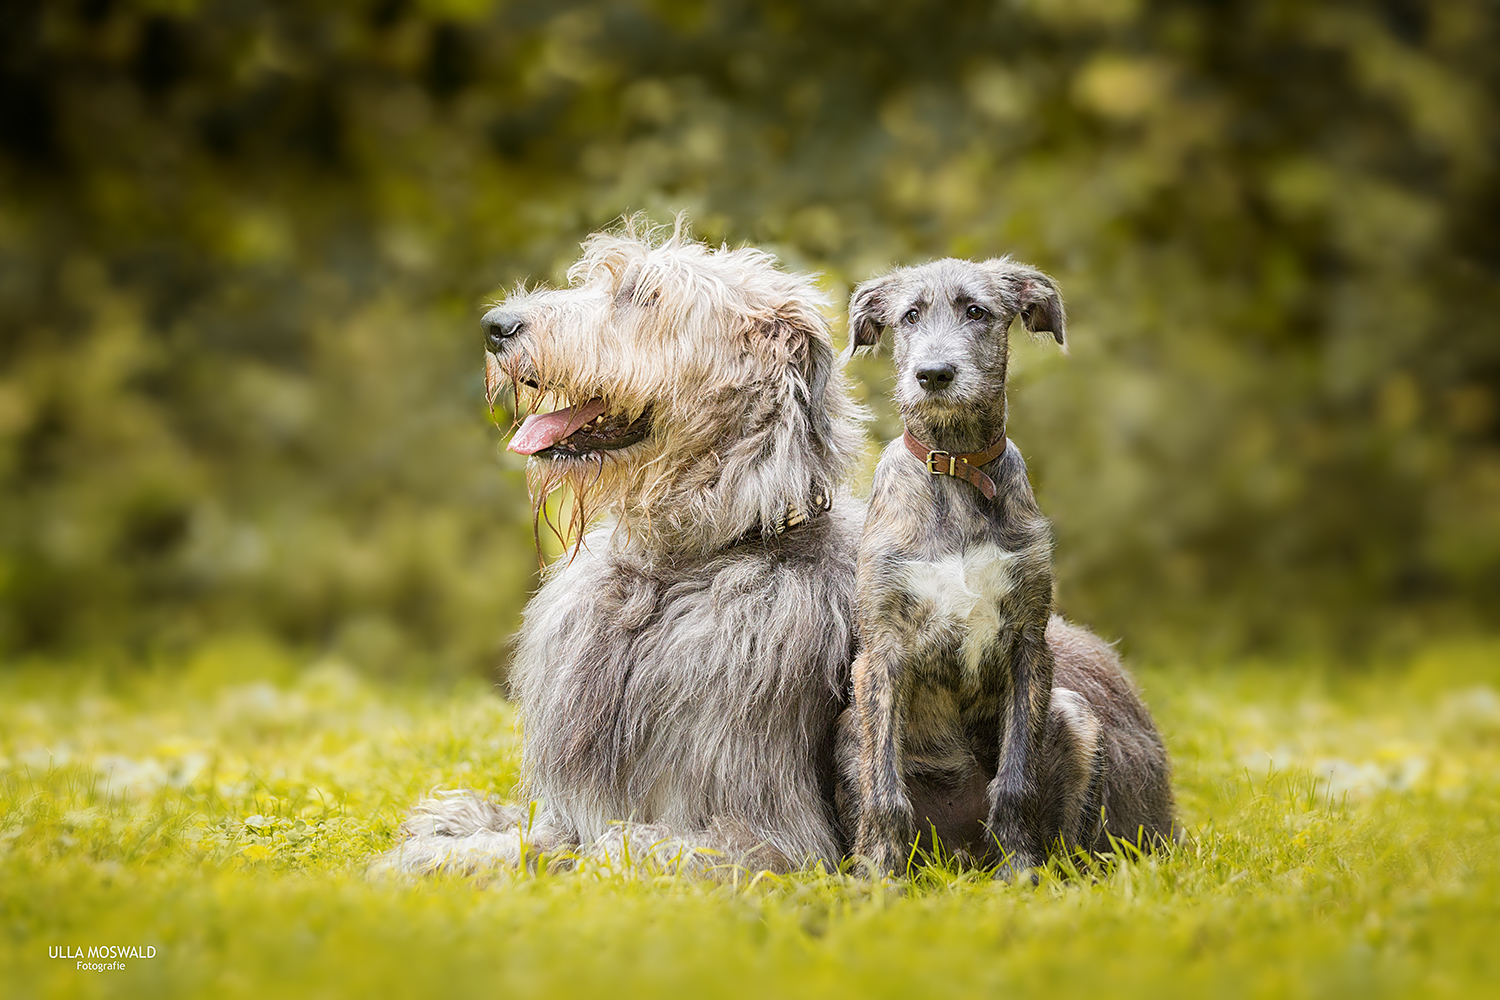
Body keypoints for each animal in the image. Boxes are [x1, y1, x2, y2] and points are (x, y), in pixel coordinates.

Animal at [372, 220, 870, 875]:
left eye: (644, 297)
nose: (495, 325)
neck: (672, 570)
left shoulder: (772, 837)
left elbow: (601, 846)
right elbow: (535, 829)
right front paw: (449, 836)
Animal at [840, 257, 1176, 875]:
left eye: (977, 312)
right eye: (909, 316)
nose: (933, 375)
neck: (955, 468)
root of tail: (957, 859)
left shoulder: (1028, 643)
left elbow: (1016, 777)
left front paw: (1019, 871)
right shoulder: (882, 651)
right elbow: (884, 790)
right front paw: (879, 880)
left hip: (1076, 715)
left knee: (1067, 835)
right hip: (852, 728)